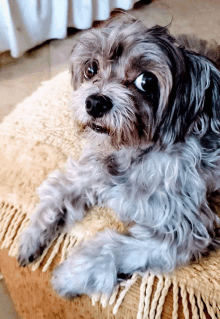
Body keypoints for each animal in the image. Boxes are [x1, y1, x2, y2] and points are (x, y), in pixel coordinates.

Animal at [17, 16, 220, 298]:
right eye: (91, 69)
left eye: (147, 81)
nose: (95, 102)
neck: (132, 153)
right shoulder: (91, 171)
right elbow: (58, 192)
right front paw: (31, 237)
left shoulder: (185, 229)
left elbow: (112, 247)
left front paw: (69, 276)